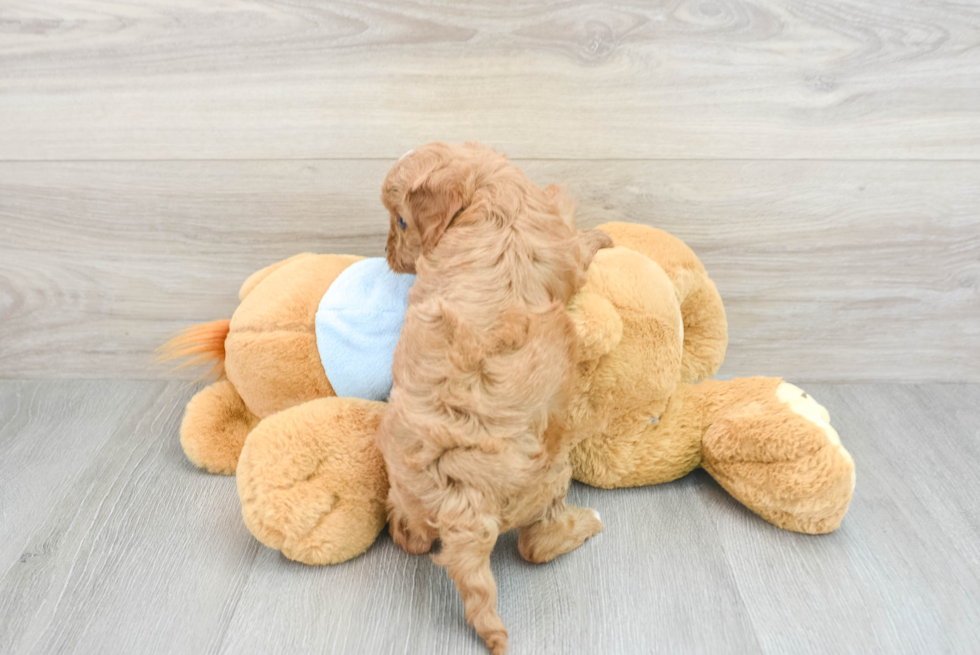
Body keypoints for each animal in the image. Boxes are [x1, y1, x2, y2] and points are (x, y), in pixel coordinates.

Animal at [378, 144, 608, 655]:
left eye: (401, 221)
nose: (388, 257)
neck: (485, 196)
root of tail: (461, 503)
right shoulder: (560, 242)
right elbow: (580, 246)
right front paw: (602, 235)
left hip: (408, 490)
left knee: (412, 537)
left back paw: (402, 526)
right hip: (551, 473)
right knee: (535, 546)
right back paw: (586, 523)